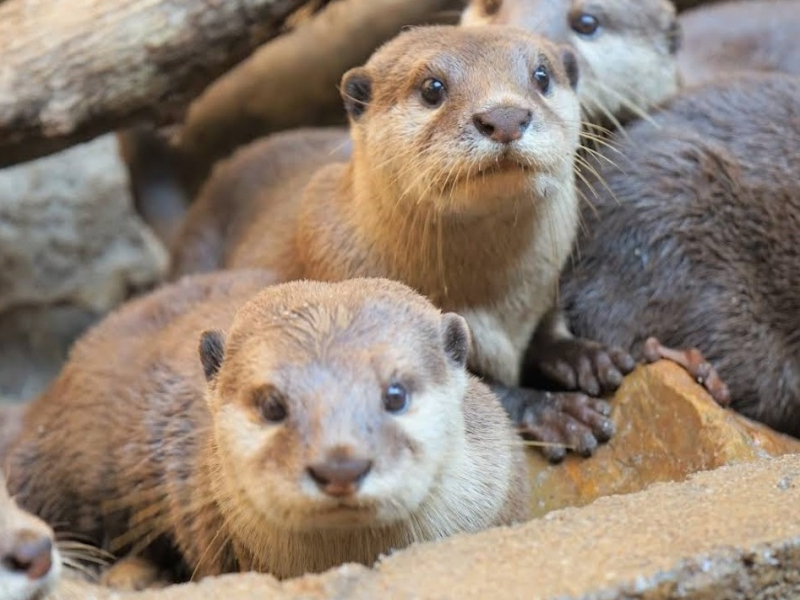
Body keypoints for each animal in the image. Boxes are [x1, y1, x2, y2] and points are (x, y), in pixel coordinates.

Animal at [170, 25, 627, 462]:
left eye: (541, 75)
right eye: (432, 88)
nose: (505, 116)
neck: (496, 300)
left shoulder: (546, 284)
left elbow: (548, 328)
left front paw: (583, 355)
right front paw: (557, 411)